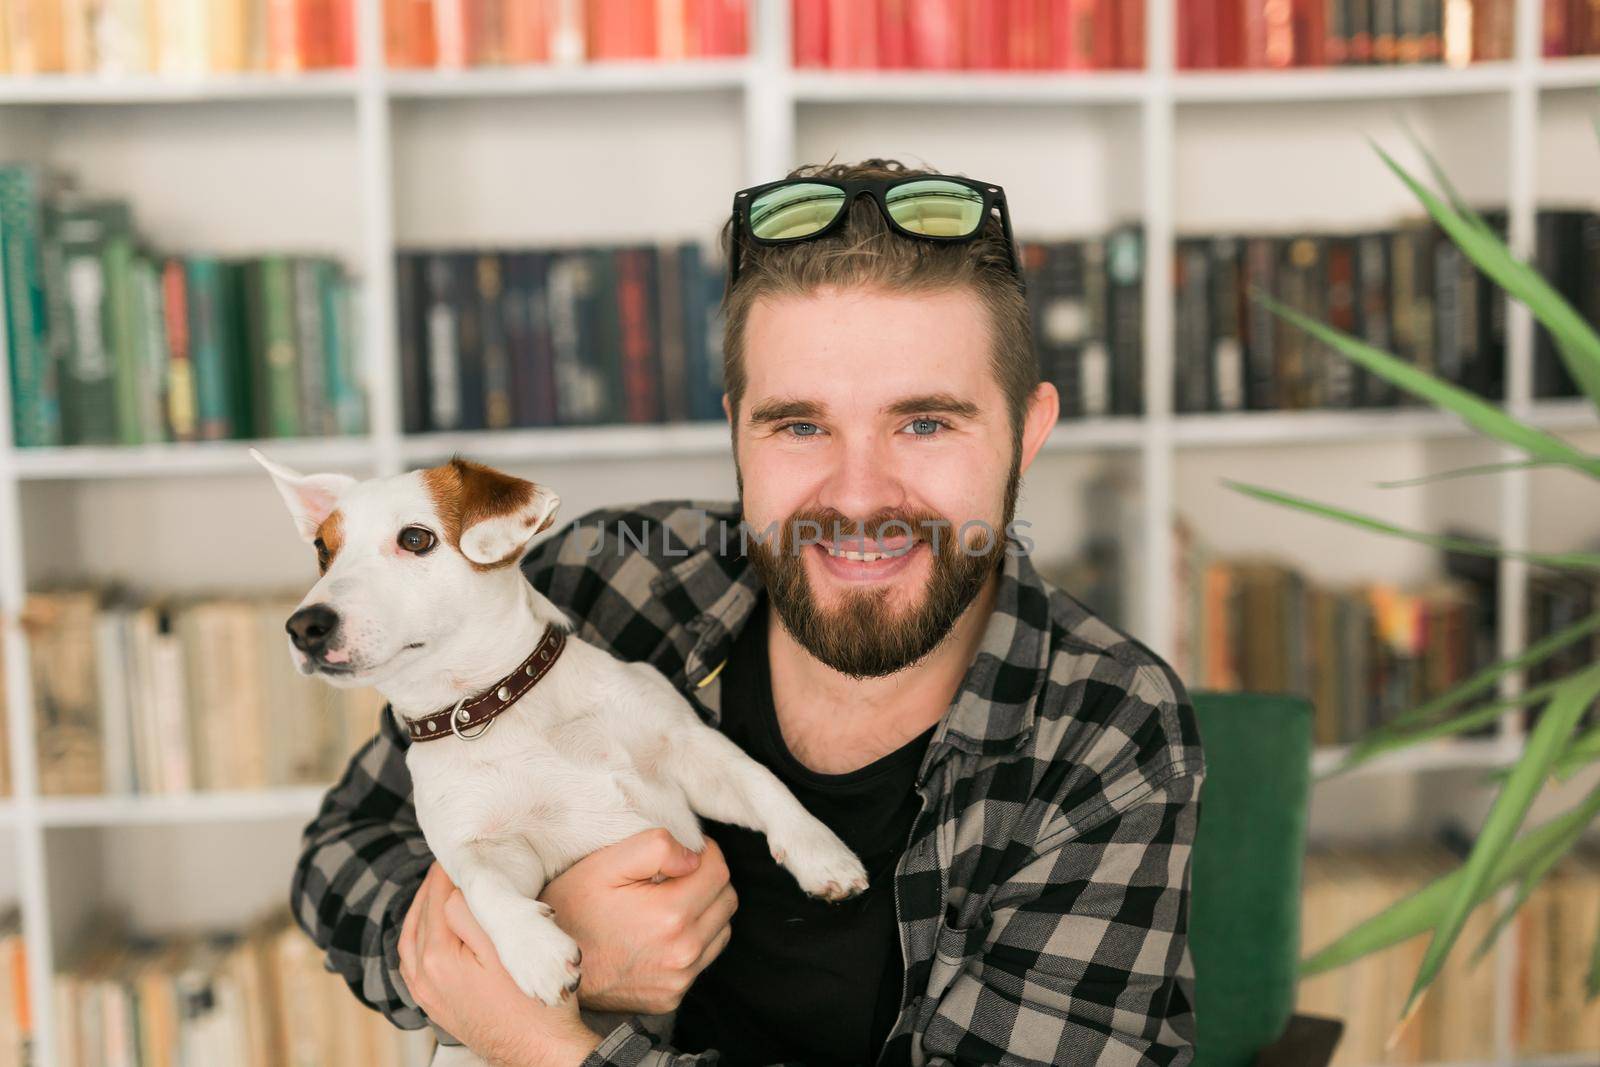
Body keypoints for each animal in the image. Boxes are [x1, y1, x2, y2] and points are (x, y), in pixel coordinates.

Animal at [252, 454, 876, 1067]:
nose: (305, 626)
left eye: (415, 538)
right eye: (323, 551)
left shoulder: (688, 749)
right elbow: (483, 885)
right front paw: (534, 950)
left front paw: (821, 853)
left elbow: (762, 780)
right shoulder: (487, 845)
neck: (499, 705)